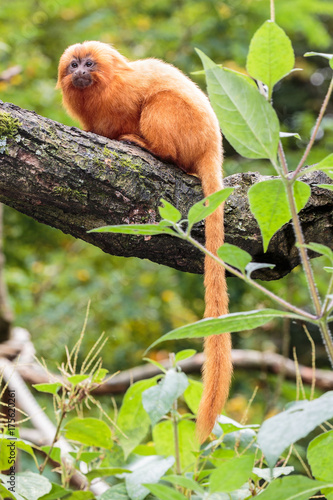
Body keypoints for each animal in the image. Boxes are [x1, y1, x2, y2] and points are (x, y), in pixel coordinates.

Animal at [57, 42, 232, 442]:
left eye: (89, 64)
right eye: (73, 65)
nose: (80, 72)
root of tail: (211, 146)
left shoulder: (124, 95)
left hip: (184, 128)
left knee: (161, 107)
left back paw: (152, 148)